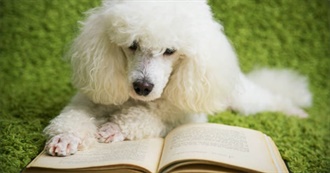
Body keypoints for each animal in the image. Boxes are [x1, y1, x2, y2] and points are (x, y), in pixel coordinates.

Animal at [43, 0, 312, 157]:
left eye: (170, 51)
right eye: (132, 45)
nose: (142, 87)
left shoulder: (183, 116)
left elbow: (148, 117)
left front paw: (114, 127)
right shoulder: (91, 96)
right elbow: (74, 116)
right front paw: (67, 138)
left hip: (244, 101)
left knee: (273, 99)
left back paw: (296, 112)